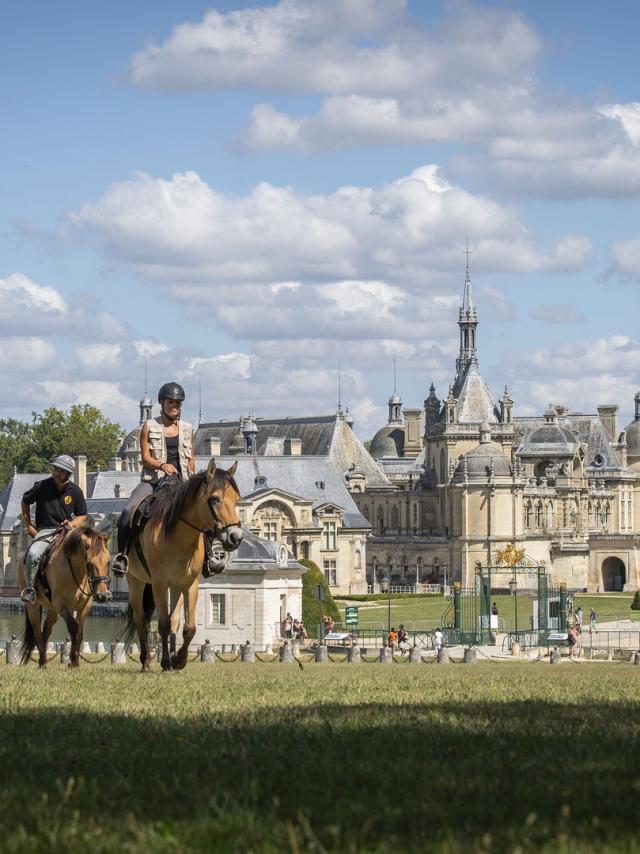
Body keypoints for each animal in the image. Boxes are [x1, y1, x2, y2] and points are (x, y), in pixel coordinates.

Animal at [19, 528, 112, 668]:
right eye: (89, 564)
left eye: (108, 562)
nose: (102, 595)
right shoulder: (61, 605)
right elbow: (73, 628)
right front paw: (72, 661)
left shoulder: (84, 606)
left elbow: (79, 632)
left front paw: (75, 662)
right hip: (33, 606)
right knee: (37, 631)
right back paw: (43, 663)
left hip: (52, 609)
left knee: (46, 629)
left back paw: (43, 660)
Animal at [123, 462, 242, 676]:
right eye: (214, 498)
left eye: (236, 498)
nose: (236, 537)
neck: (180, 536)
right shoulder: (160, 584)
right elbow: (162, 625)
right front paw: (165, 662)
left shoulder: (190, 584)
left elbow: (188, 627)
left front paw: (179, 659)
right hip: (136, 581)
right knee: (140, 619)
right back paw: (146, 661)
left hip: (175, 586)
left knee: (174, 620)